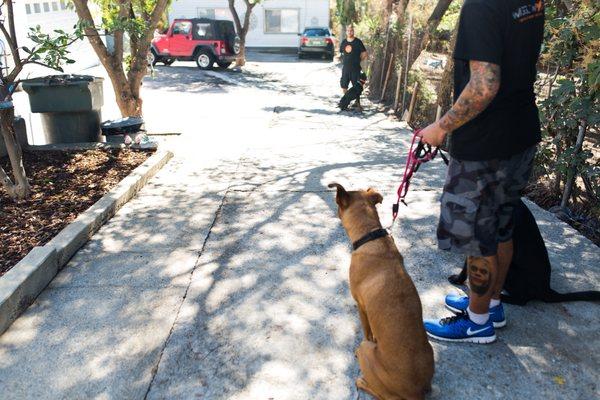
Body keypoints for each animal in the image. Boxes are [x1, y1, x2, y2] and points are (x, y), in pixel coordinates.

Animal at [330, 182, 434, 400]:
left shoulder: (361, 306)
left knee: (382, 394)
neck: (370, 235)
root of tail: (416, 393)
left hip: (367, 351)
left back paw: (361, 381)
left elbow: (367, 330)